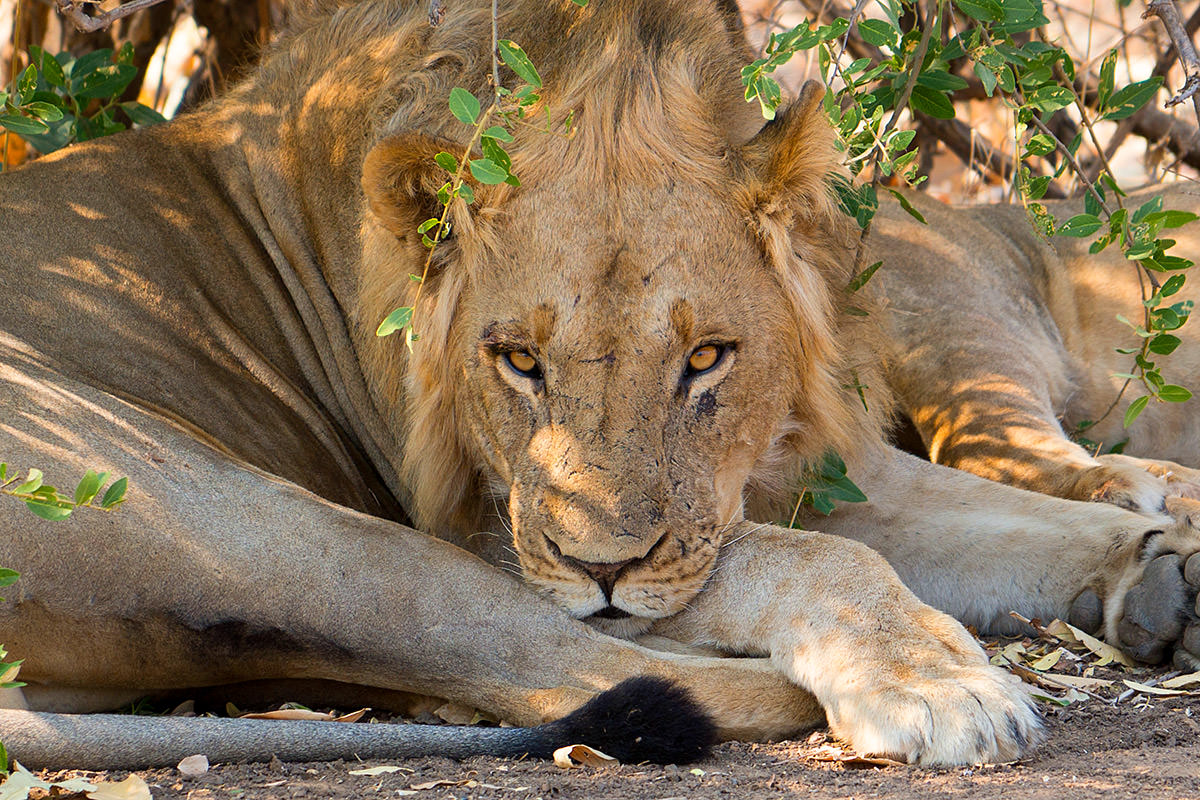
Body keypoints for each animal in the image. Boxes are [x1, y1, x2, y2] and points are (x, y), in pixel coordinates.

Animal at [2, 0, 1200, 767]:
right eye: (518, 360)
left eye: (706, 358)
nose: (604, 568)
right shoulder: (489, 520)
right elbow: (817, 559)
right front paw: (939, 683)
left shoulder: (820, 468)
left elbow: (1019, 520)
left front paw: (1159, 563)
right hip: (258, 516)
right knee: (547, 664)